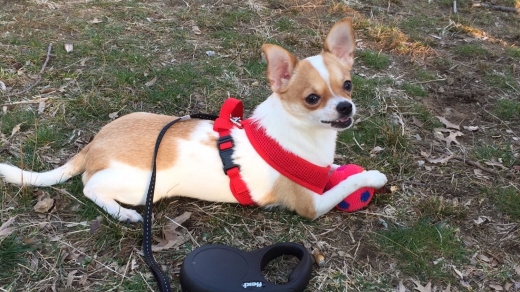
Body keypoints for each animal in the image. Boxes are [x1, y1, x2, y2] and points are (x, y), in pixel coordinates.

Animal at [0, 18, 386, 222]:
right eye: (312, 99)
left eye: (348, 85)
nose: (345, 108)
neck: (302, 135)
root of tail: (94, 145)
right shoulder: (312, 206)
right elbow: (346, 184)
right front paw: (372, 177)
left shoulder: (316, 172)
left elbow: (334, 172)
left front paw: (342, 169)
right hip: (143, 187)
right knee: (90, 187)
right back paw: (123, 213)